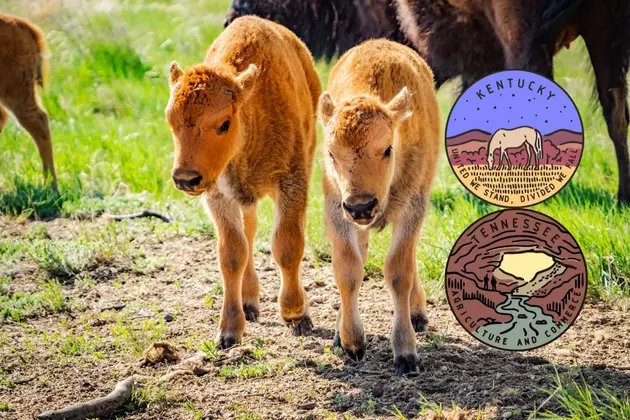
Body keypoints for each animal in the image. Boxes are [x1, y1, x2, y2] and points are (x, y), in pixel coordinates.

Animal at [165, 15, 324, 348]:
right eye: (170, 121)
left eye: (224, 123)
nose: (185, 178)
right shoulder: (218, 195)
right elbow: (232, 253)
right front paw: (228, 330)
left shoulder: (292, 182)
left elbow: (287, 245)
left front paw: (295, 313)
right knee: (248, 232)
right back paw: (249, 301)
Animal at [318, 38, 442, 374]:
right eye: (331, 154)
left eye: (387, 149)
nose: (361, 206)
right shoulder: (337, 208)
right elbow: (348, 269)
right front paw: (351, 342)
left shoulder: (413, 207)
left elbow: (399, 272)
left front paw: (406, 354)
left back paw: (418, 315)